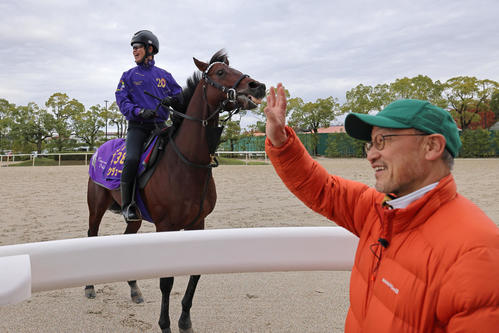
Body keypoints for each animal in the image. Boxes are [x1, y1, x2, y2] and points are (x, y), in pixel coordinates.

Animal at [84, 50, 268, 332]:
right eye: (220, 72)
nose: (257, 86)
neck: (187, 163)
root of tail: (98, 151)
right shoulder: (166, 226)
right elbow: (167, 281)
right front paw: (165, 324)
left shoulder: (197, 224)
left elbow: (195, 273)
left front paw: (184, 321)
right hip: (96, 207)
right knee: (91, 235)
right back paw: (90, 287)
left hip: (135, 218)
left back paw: (134, 290)